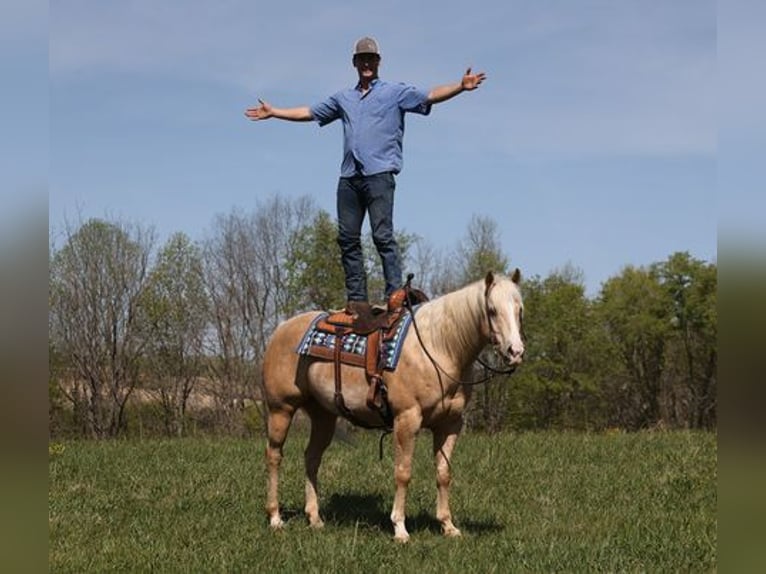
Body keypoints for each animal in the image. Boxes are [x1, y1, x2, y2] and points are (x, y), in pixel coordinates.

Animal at [260, 272, 524, 544]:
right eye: (491, 310)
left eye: (519, 310)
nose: (515, 351)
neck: (438, 346)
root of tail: (280, 329)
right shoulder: (407, 419)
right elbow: (403, 472)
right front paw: (400, 528)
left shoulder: (450, 424)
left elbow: (443, 473)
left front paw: (448, 526)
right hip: (281, 409)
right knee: (274, 456)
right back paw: (276, 518)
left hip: (323, 416)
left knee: (312, 458)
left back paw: (315, 518)